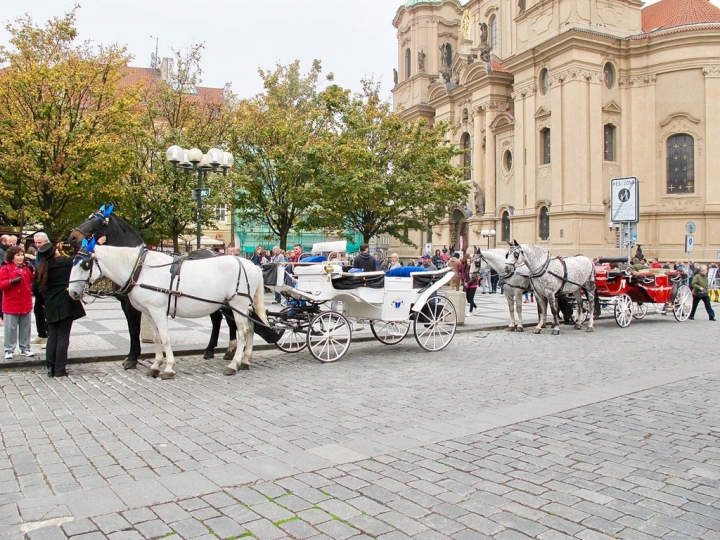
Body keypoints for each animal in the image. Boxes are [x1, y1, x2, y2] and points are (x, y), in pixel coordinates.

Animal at [68, 208, 238, 372]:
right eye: (87, 218)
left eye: (97, 221)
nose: (72, 237)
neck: (137, 264)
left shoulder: (130, 305)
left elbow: (134, 329)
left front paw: (132, 357)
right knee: (220, 320)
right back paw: (215, 350)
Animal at [68, 243, 268, 378]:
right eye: (72, 262)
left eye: (85, 264)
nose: (73, 292)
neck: (141, 270)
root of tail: (252, 265)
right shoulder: (148, 312)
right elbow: (157, 338)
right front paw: (156, 365)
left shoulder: (157, 310)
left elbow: (164, 337)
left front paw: (169, 367)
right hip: (243, 307)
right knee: (251, 327)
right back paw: (245, 360)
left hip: (238, 304)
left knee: (243, 331)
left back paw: (234, 363)